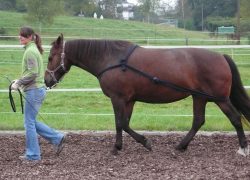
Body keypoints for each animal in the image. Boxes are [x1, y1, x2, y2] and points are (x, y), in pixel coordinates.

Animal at [45, 34, 250, 156]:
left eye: (49, 57)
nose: (47, 80)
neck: (112, 59)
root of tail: (221, 56)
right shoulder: (128, 100)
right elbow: (125, 123)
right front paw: (130, 144)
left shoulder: (118, 98)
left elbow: (120, 123)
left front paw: (129, 145)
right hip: (199, 97)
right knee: (198, 121)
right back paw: (181, 146)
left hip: (219, 99)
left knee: (235, 118)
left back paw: (242, 147)